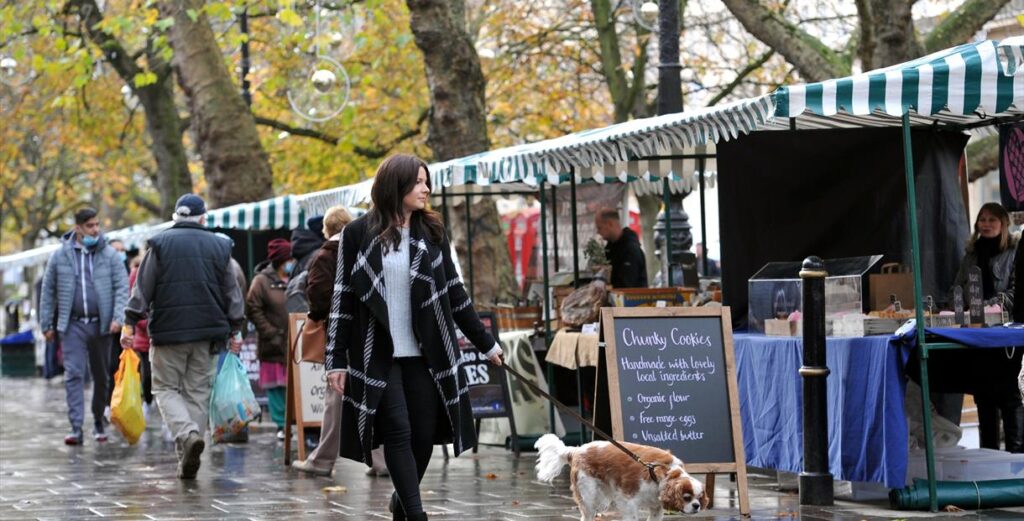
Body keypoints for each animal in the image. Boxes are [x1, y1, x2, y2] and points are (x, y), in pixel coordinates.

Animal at [536, 431, 704, 517]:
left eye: (699, 498)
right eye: (686, 497)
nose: (696, 506)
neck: (663, 472)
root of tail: (576, 450)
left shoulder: (656, 507)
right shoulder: (628, 501)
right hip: (588, 497)